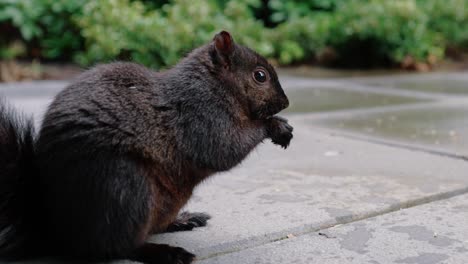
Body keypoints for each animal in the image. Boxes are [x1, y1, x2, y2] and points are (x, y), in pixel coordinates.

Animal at [0, 31, 292, 264]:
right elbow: (224, 148)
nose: (285, 102)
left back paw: (183, 219)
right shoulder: (201, 115)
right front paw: (274, 126)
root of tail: (52, 227)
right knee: (115, 246)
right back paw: (164, 252)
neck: (215, 85)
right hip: (124, 186)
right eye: (260, 76)